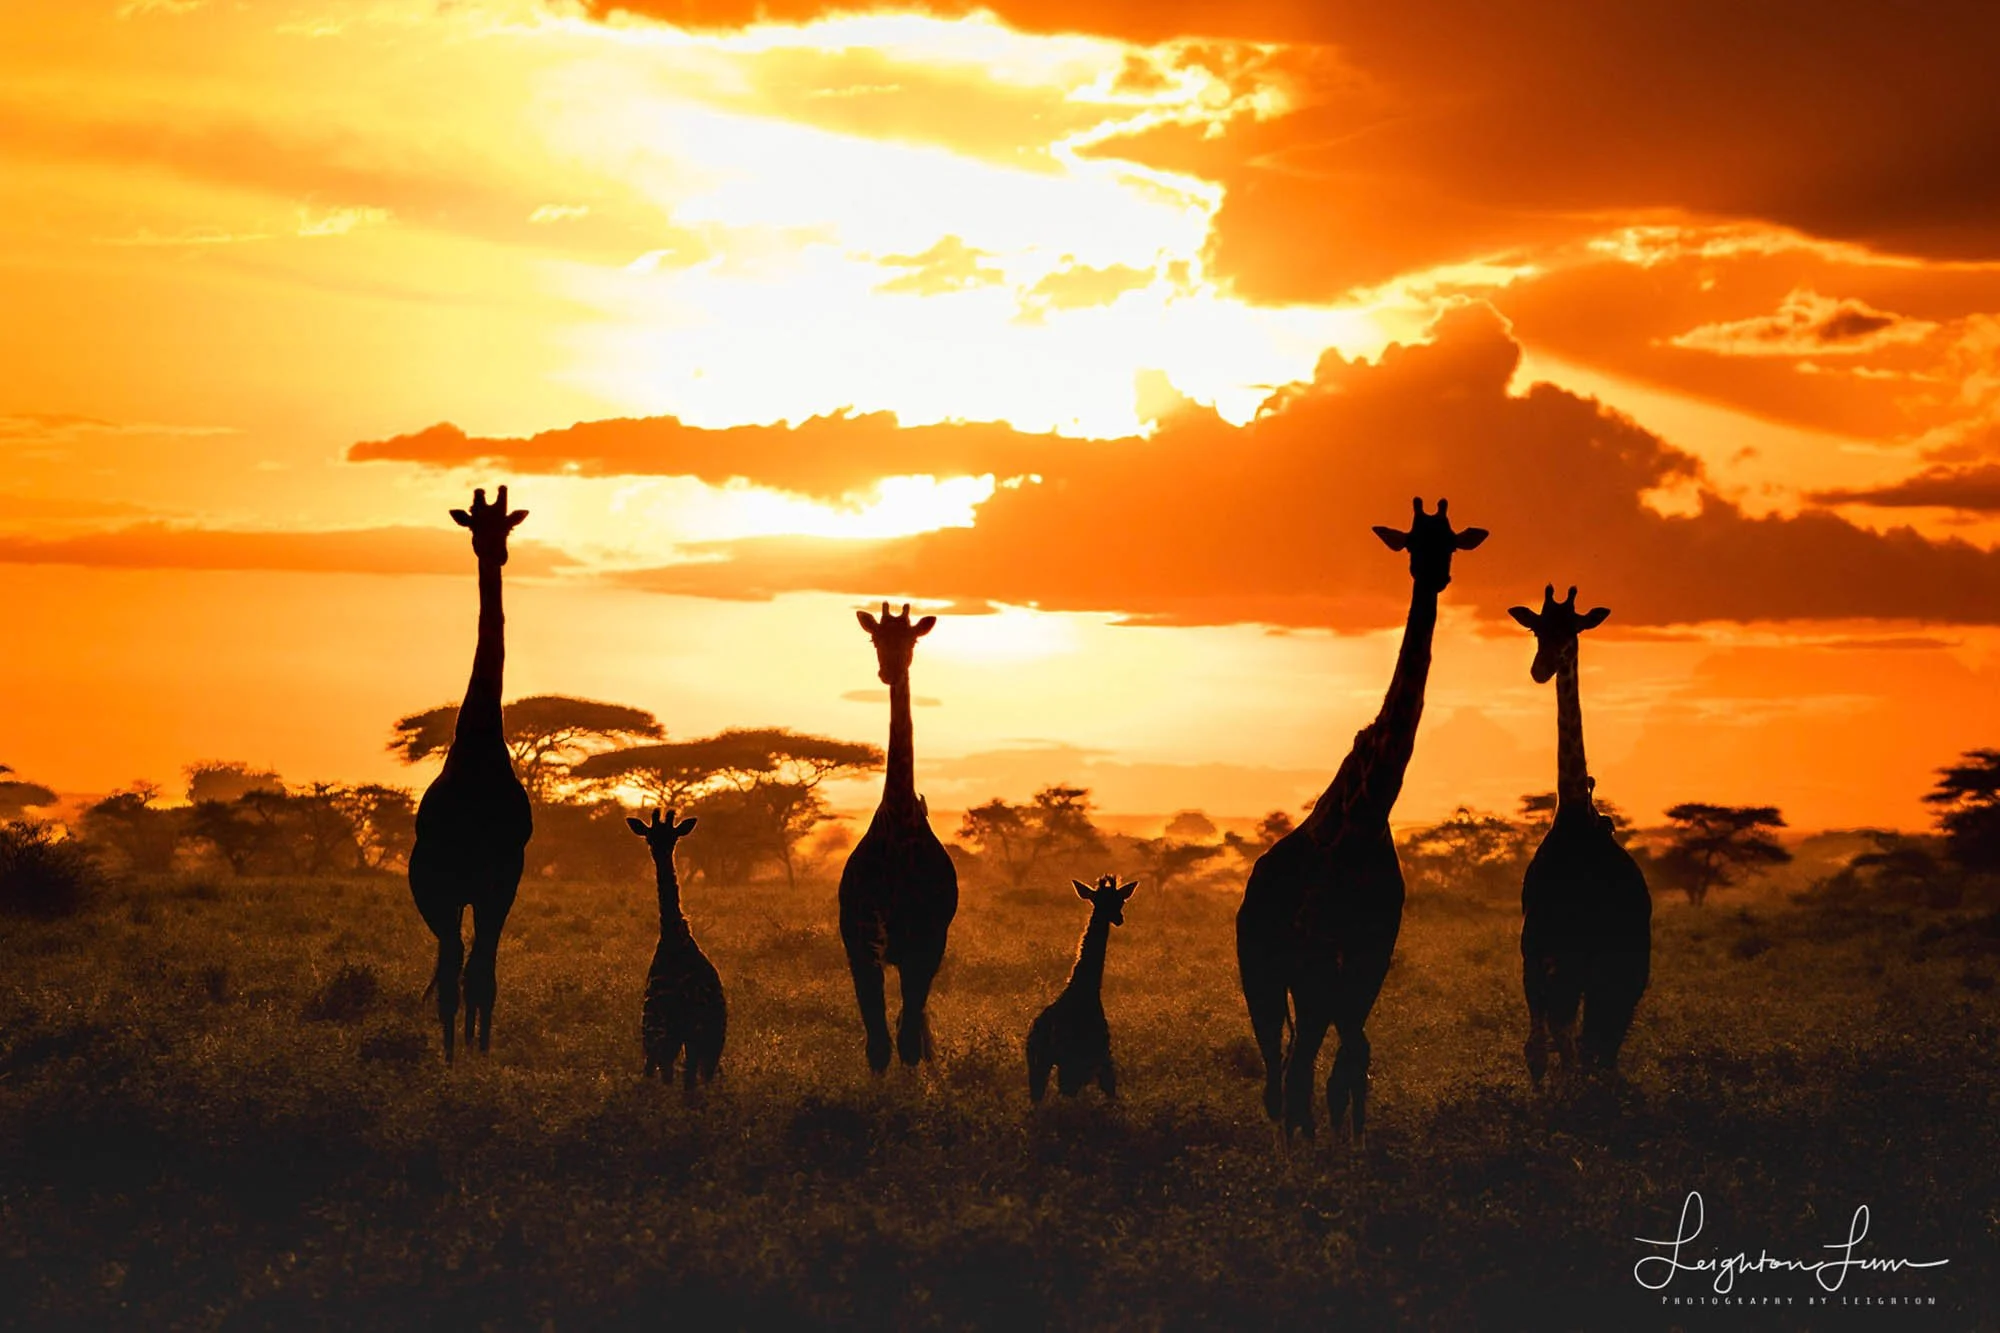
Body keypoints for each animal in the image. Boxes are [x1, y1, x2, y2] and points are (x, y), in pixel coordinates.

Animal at [627, 808, 724, 1090]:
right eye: (650, 837)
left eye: (672, 838)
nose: (658, 852)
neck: (674, 936)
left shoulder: (654, 1034)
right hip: (708, 1040)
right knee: (695, 1079)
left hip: (663, 1034)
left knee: (667, 1075)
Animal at [839, 602, 959, 1072]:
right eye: (875, 638)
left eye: (913, 640)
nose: (889, 670)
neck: (901, 821)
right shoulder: (863, 939)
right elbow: (878, 1043)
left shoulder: (924, 940)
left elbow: (905, 1039)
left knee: (913, 1021)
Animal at [1027, 874, 1138, 1102]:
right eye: (1101, 902)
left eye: (1120, 900)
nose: (1119, 918)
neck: (1086, 988)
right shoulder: (1092, 1058)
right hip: (1060, 1064)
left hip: (1039, 1063)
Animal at [1237, 497, 1486, 1141]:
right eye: (1412, 544)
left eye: (1451, 543)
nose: (1433, 576)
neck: (1369, 814)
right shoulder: (1320, 954)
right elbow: (1321, 1067)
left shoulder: (1372, 952)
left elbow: (1353, 1061)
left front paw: (1354, 1145)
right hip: (1263, 968)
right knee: (1279, 1069)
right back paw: (1290, 1140)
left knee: (1304, 1063)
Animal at [1510, 584, 1652, 1083]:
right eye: (1536, 628)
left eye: (1572, 629)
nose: (1539, 668)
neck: (1573, 813)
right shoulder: (1534, 947)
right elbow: (1542, 1044)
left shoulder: (1583, 956)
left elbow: (1574, 1039)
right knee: (1579, 1033)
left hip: (1624, 959)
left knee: (1603, 1035)